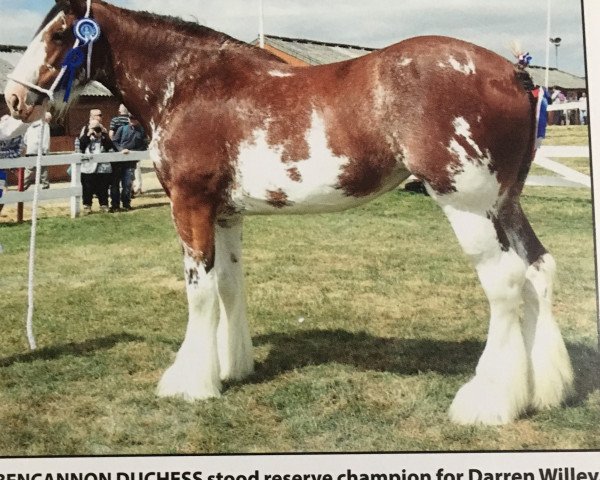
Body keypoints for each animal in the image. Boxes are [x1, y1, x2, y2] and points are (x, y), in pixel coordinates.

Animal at [5, 0, 576, 424]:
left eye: (60, 34)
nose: (14, 100)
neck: (189, 85)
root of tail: (515, 74)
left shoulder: (190, 204)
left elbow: (199, 292)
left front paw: (189, 382)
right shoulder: (226, 214)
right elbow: (229, 286)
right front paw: (232, 366)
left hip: (466, 204)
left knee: (505, 284)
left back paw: (487, 403)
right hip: (504, 204)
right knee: (538, 271)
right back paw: (540, 392)